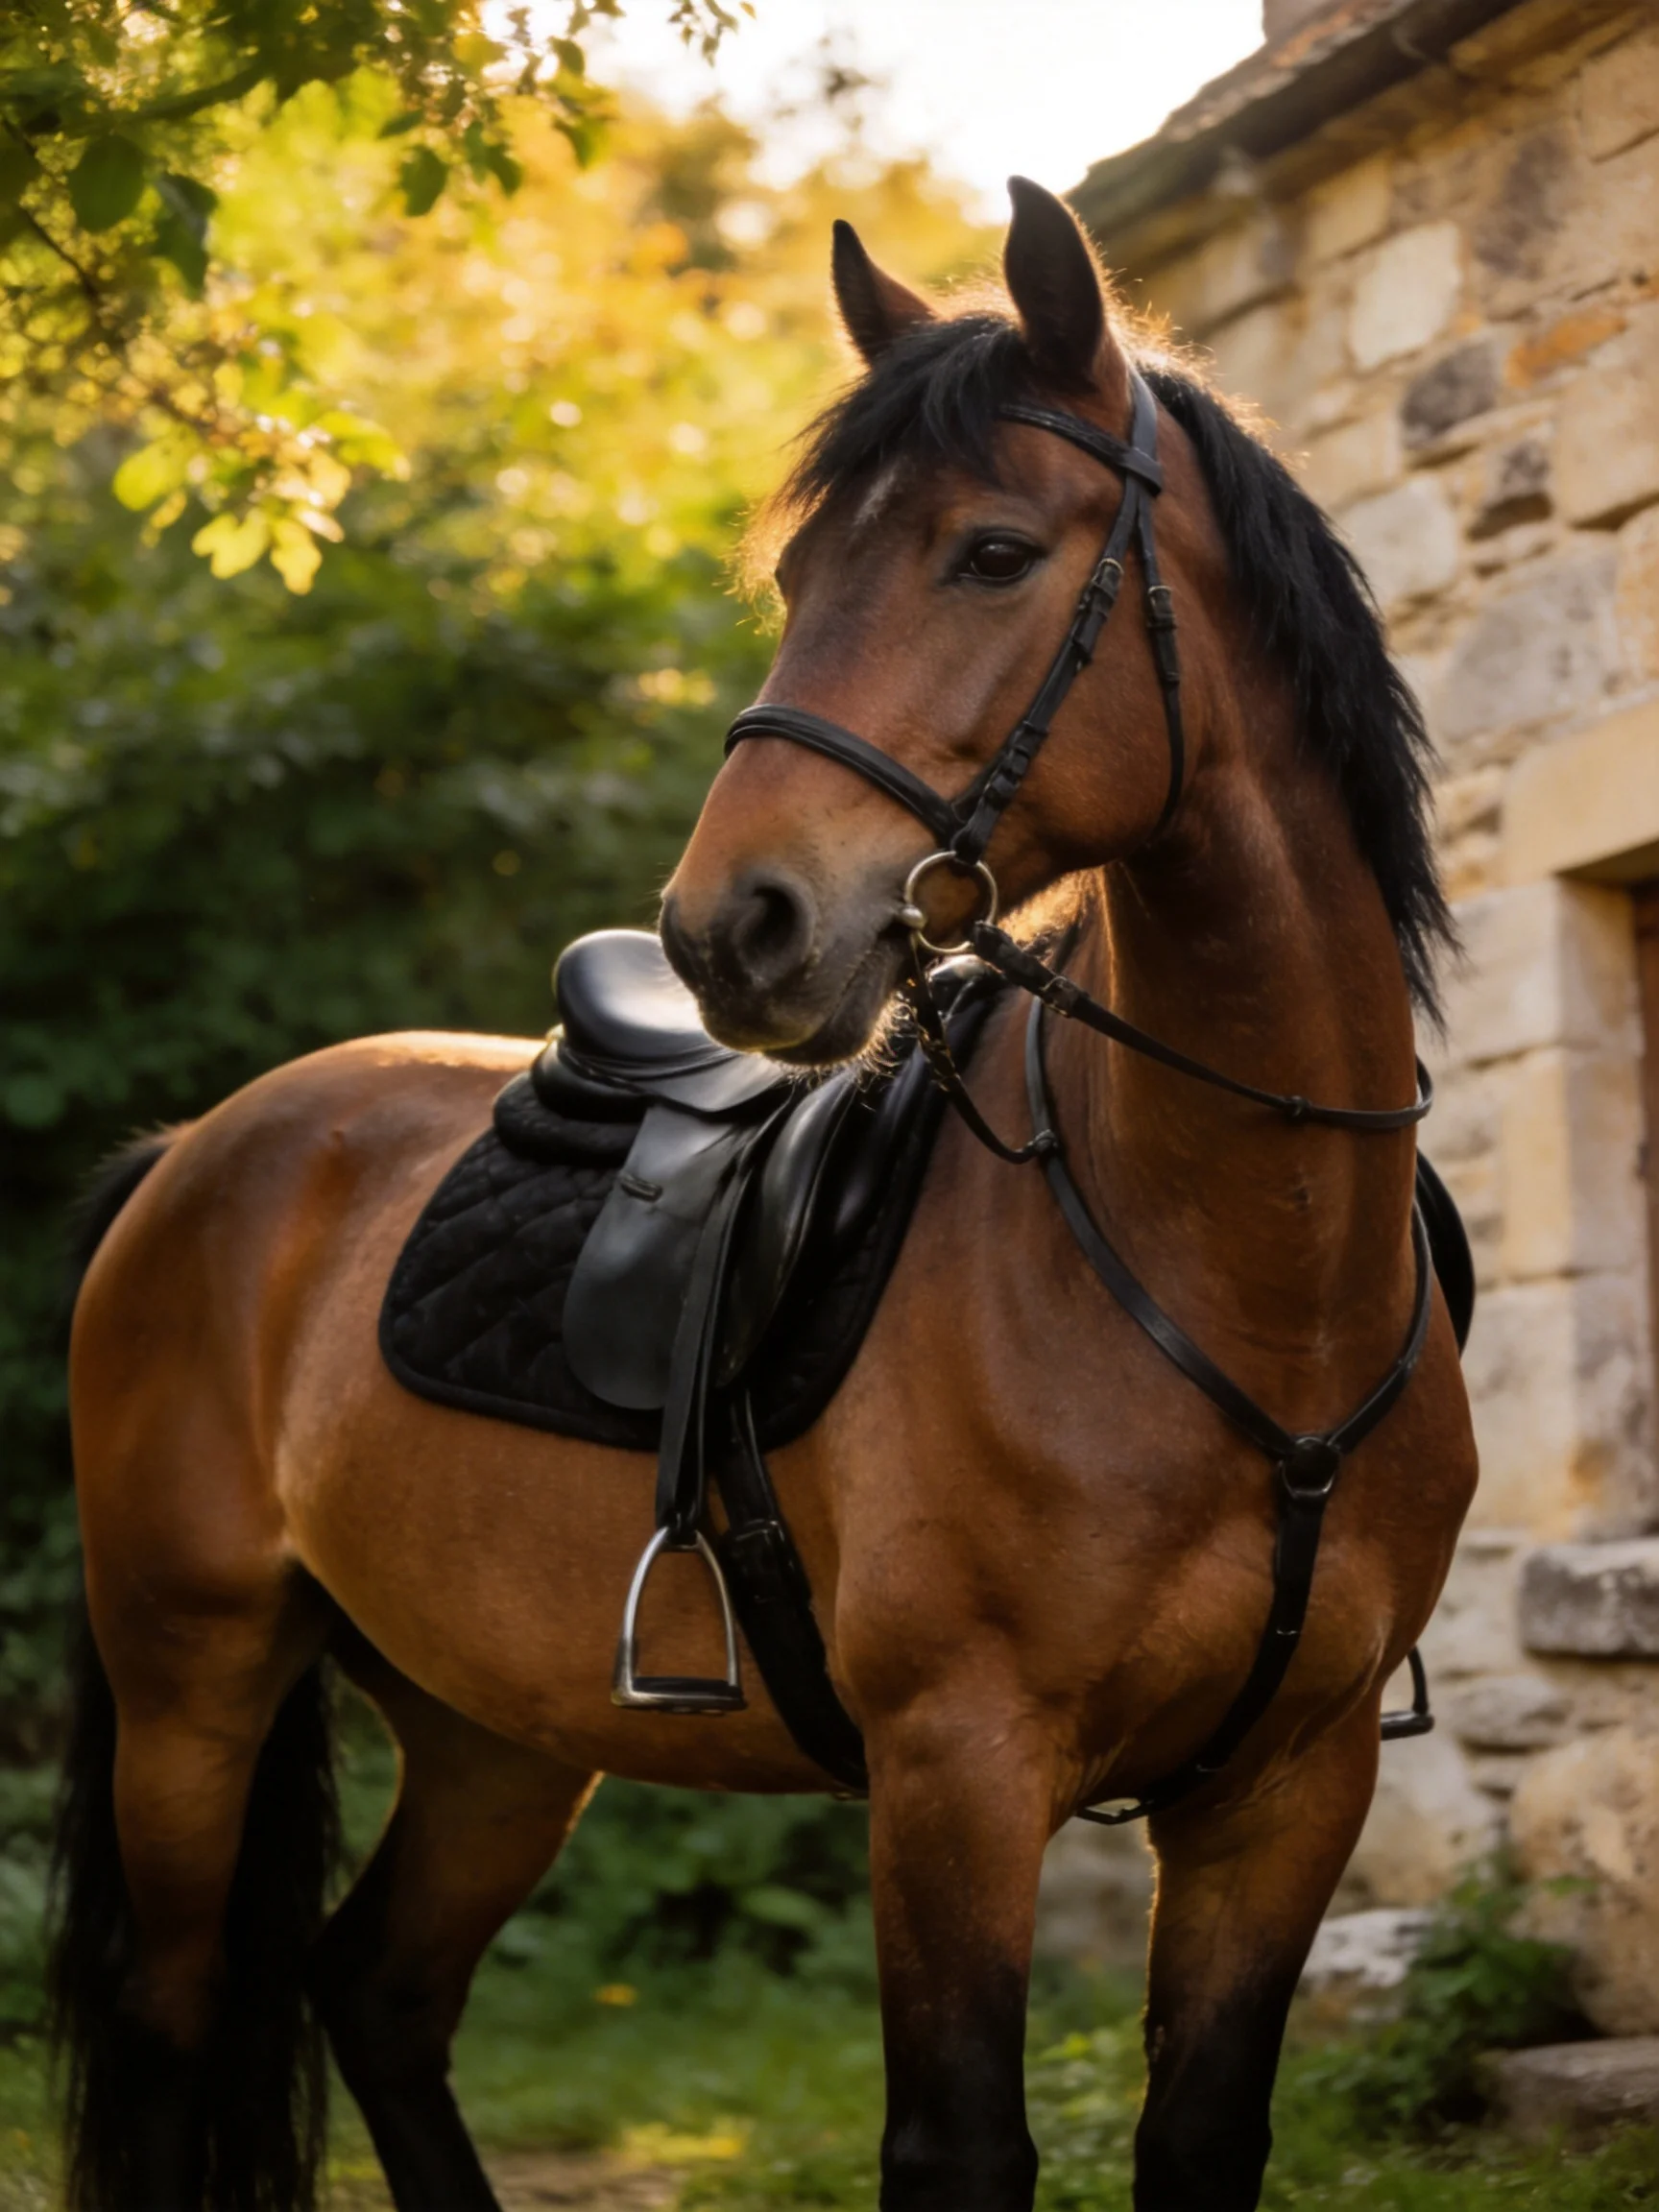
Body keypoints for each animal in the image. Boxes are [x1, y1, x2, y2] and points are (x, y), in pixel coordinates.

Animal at [52, 176, 1476, 2212]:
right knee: (182, 2028)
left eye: (989, 552)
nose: (732, 929)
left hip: (490, 1726)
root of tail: (194, 1154)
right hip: (193, 1683)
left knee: (378, 1989)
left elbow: (1202, 2129)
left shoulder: (1290, 1781)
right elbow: (954, 2140)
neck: (1236, 1266)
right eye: (796, 580)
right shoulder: (958, 1766)